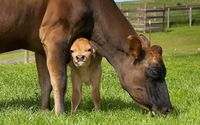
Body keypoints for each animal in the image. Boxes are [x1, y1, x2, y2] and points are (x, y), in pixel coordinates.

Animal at [0, 0, 172, 114]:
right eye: (155, 72)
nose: (168, 109)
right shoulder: (55, 36)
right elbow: (59, 80)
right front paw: (60, 114)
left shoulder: (40, 47)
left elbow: (45, 82)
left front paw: (45, 111)